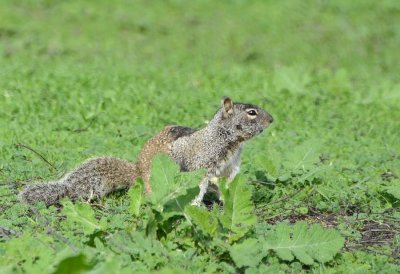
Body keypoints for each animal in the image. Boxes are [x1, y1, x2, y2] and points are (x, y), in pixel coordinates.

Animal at [20, 96, 274, 206]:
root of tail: (138, 174)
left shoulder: (230, 167)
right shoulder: (200, 162)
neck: (229, 141)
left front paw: (228, 199)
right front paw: (196, 205)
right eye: (251, 112)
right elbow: (200, 184)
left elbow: (227, 183)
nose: (272, 119)